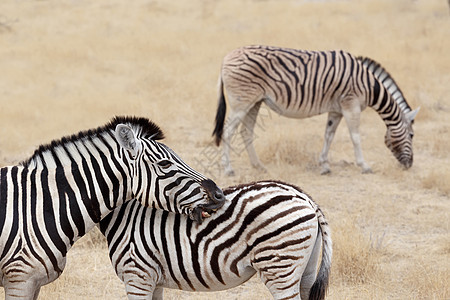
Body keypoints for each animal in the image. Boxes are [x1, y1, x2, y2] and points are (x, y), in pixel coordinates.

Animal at [100, 180, 330, 300]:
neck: (124, 214)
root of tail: (304, 197)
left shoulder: (137, 275)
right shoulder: (152, 279)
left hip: (279, 266)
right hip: (306, 268)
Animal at [213, 45, 420, 175]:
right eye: (411, 135)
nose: (410, 166)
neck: (369, 85)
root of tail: (225, 58)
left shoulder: (337, 110)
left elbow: (329, 135)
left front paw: (324, 166)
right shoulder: (350, 104)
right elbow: (355, 137)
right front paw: (364, 166)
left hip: (255, 102)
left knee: (246, 131)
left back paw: (259, 166)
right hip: (241, 102)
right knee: (228, 131)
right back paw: (228, 169)